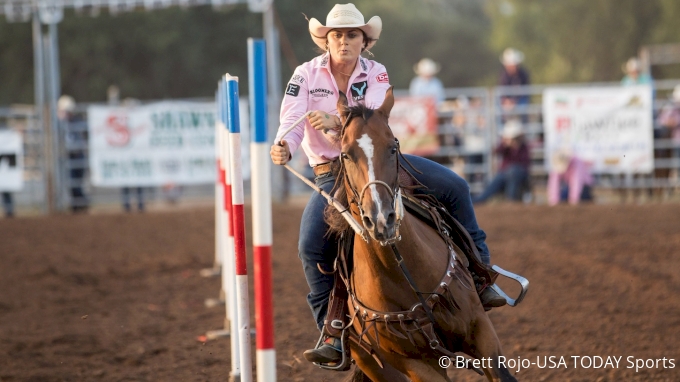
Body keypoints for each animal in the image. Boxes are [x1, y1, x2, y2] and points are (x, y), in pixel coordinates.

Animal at [326, 87, 516, 382]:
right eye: (345, 154)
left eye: (393, 147)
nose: (381, 219)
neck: (404, 274)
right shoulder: (415, 363)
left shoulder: (481, 329)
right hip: (375, 365)